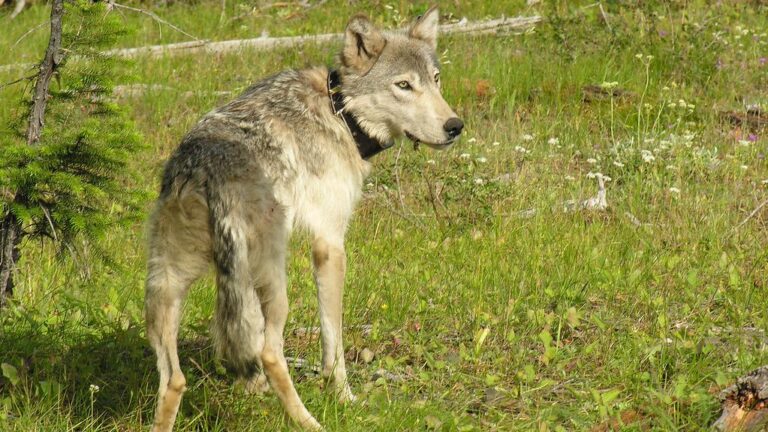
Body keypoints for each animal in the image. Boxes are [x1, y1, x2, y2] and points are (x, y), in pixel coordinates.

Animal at [144, 6, 463, 431]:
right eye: (403, 85)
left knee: (174, 380)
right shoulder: (330, 244)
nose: (455, 126)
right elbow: (334, 340)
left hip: (167, 287)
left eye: (435, 79)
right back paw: (311, 422)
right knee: (268, 353)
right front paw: (344, 397)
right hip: (274, 283)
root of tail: (207, 167)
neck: (340, 113)